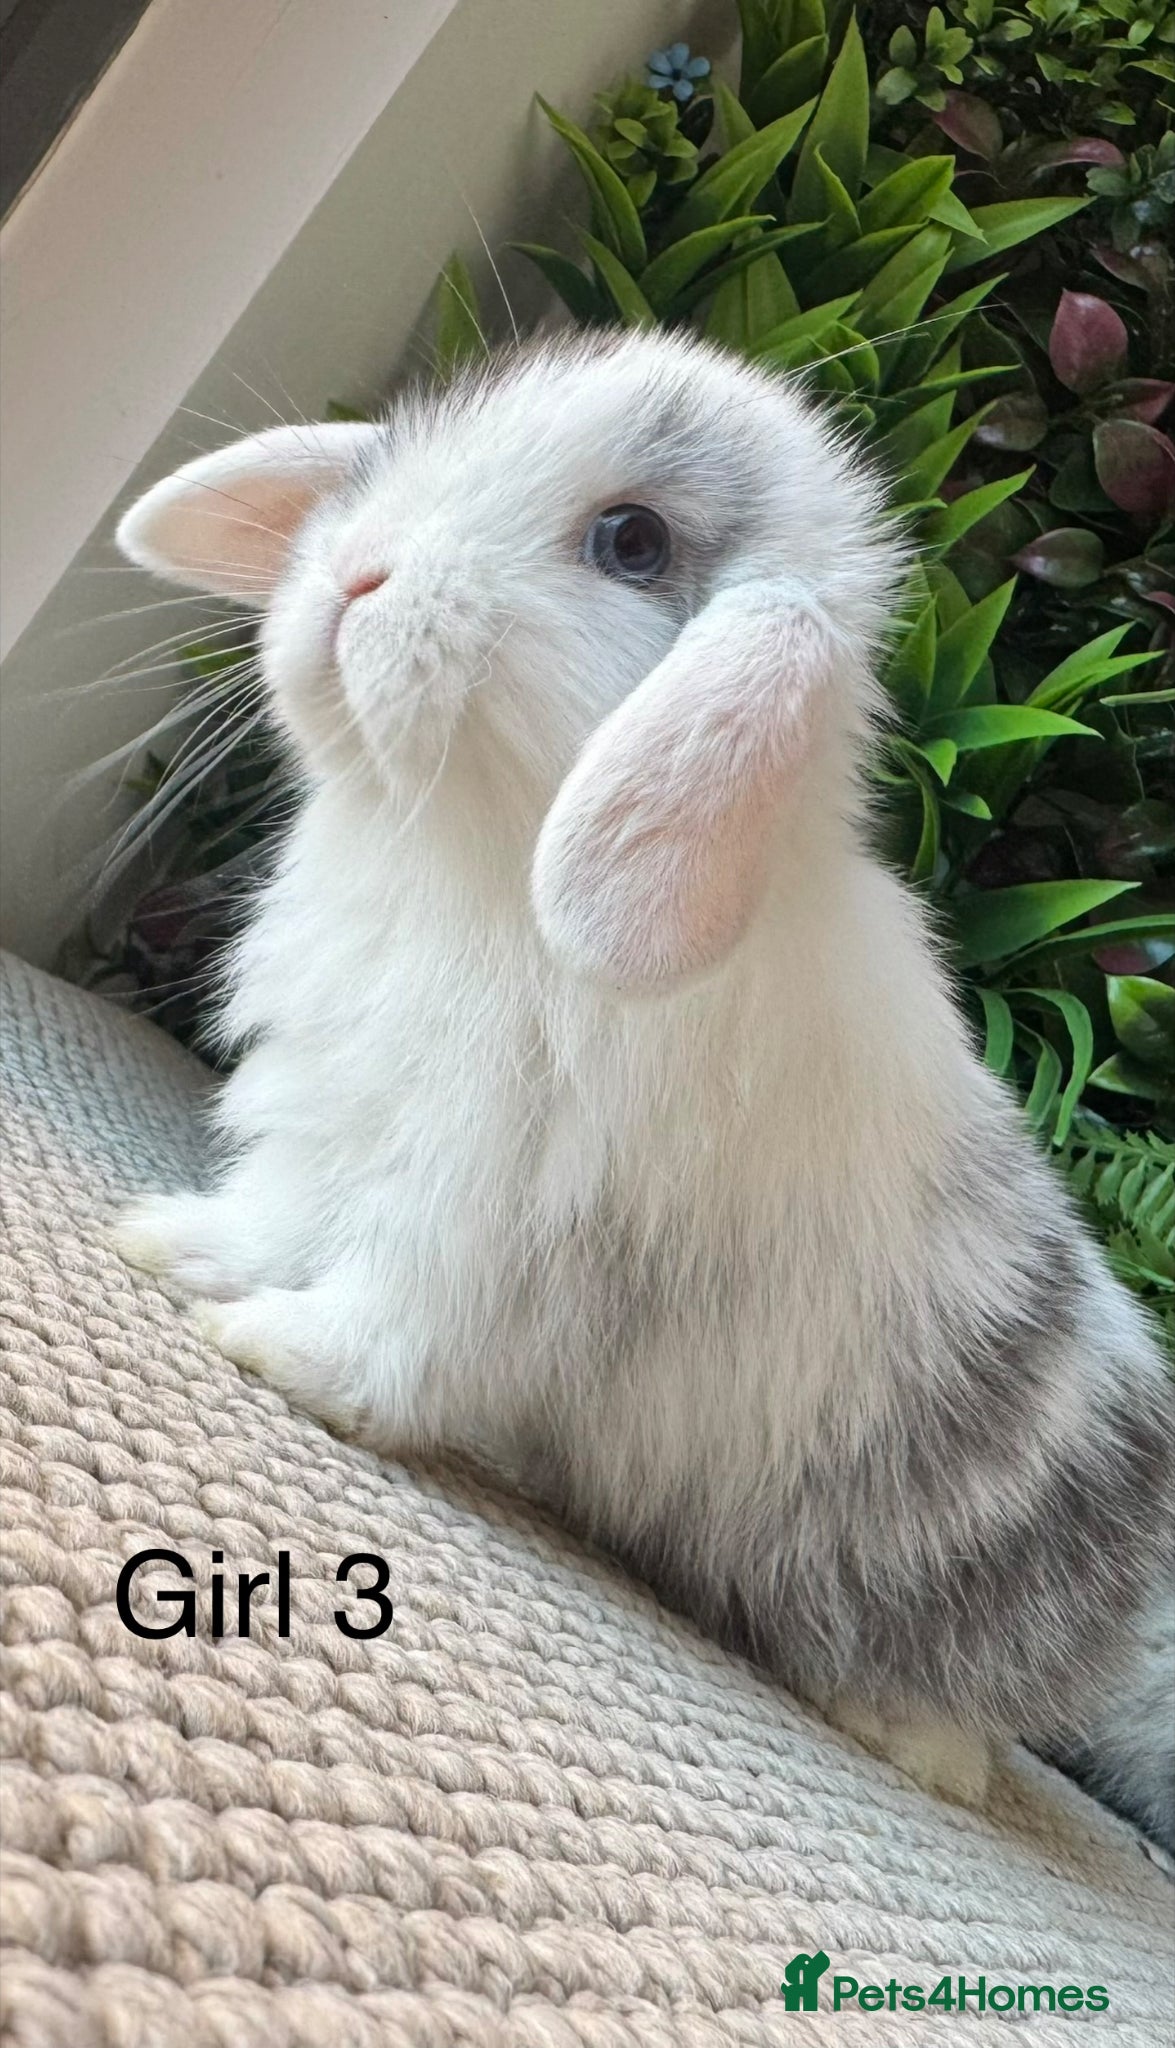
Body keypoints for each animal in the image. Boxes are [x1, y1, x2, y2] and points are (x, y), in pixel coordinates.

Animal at [113, 327, 1174, 1836]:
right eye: (412, 447)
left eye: (630, 542)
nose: (355, 572)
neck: (471, 864)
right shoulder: (334, 1124)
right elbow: (272, 1217)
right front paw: (168, 1247)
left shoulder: (487, 1214)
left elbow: (395, 1329)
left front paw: (272, 1349)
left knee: (968, 1725)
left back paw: (907, 1740)